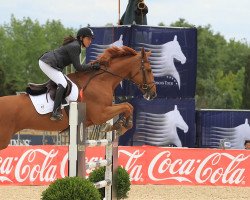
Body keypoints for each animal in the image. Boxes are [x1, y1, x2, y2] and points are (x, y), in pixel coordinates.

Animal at [0, 45, 156, 150]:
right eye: (149, 70)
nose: (153, 93)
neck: (101, 81)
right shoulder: (100, 114)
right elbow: (127, 106)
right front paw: (121, 126)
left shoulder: (104, 111)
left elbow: (129, 106)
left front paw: (120, 125)